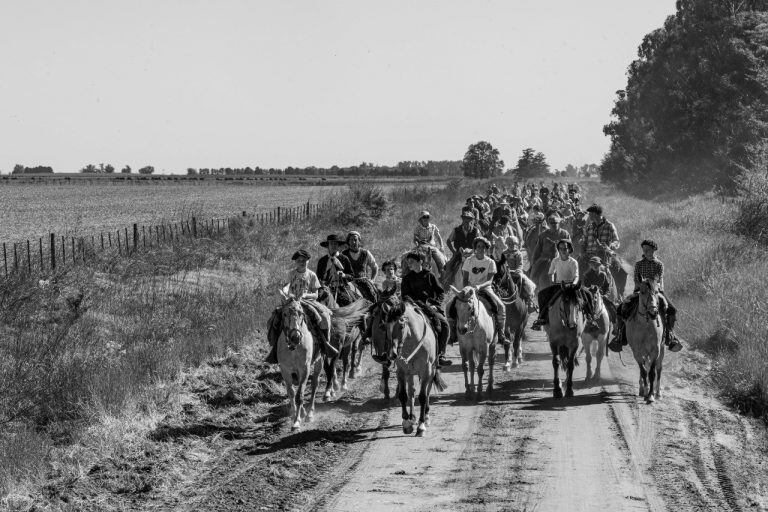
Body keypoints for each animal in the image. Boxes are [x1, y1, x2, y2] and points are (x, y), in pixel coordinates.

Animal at [276, 294, 320, 430]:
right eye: (284, 314)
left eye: (301, 313)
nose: (295, 337)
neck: (293, 349)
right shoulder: (285, 369)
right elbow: (291, 393)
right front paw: (294, 414)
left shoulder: (305, 368)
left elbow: (300, 395)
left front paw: (296, 421)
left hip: (319, 362)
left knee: (314, 384)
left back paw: (310, 413)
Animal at [380, 296, 448, 436]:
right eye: (386, 327)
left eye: (401, 326)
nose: (392, 354)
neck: (411, 341)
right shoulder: (401, 371)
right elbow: (403, 395)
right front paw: (407, 423)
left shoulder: (426, 370)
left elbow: (422, 396)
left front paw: (421, 427)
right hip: (410, 373)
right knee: (411, 391)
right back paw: (412, 417)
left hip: (431, 371)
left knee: (427, 392)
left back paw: (425, 417)